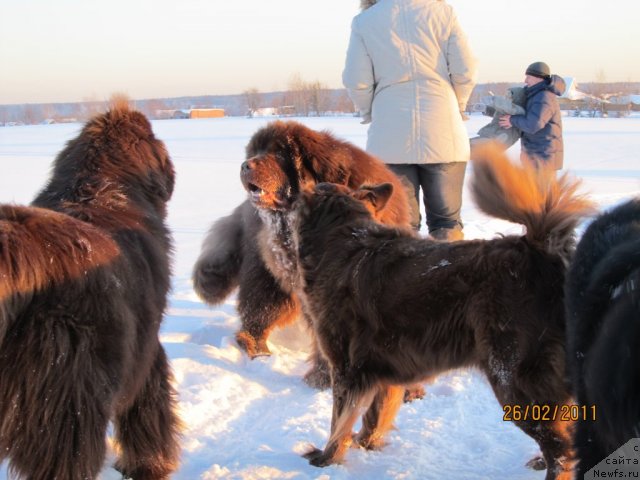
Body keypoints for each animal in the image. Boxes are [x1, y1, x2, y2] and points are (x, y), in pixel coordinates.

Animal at [290, 143, 596, 480]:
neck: (345, 236)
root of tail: (539, 252)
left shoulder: (346, 368)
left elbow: (339, 421)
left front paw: (326, 459)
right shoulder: (380, 370)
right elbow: (375, 415)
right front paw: (367, 443)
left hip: (513, 379)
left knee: (562, 448)